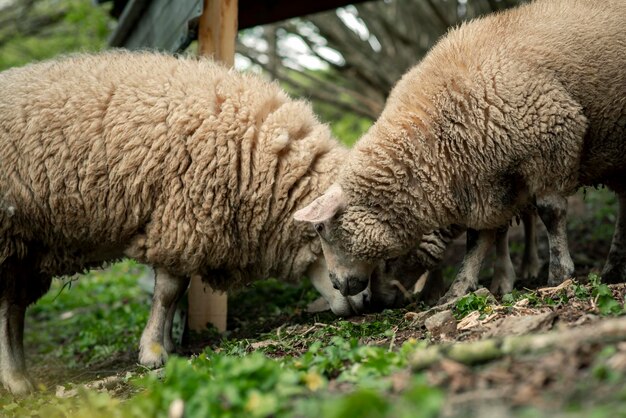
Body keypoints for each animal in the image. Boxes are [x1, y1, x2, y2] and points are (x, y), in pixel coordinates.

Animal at [0, 49, 370, 396]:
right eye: (325, 230)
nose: (367, 300)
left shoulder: (185, 222)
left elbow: (177, 292)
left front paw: (167, 345)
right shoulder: (179, 217)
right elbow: (168, 292)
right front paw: (153, 352)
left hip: (24, 249)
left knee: (13, 308)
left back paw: (20, 377)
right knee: (7, 310)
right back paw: (16, 380)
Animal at [294, 0, 624, 304]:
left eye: (321, 228)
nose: (337, 284)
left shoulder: (552, 137)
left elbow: (550, 212)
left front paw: (558, 276)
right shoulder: (482, 184)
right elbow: (478, 239)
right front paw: (458, 290)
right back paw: (613, 268)